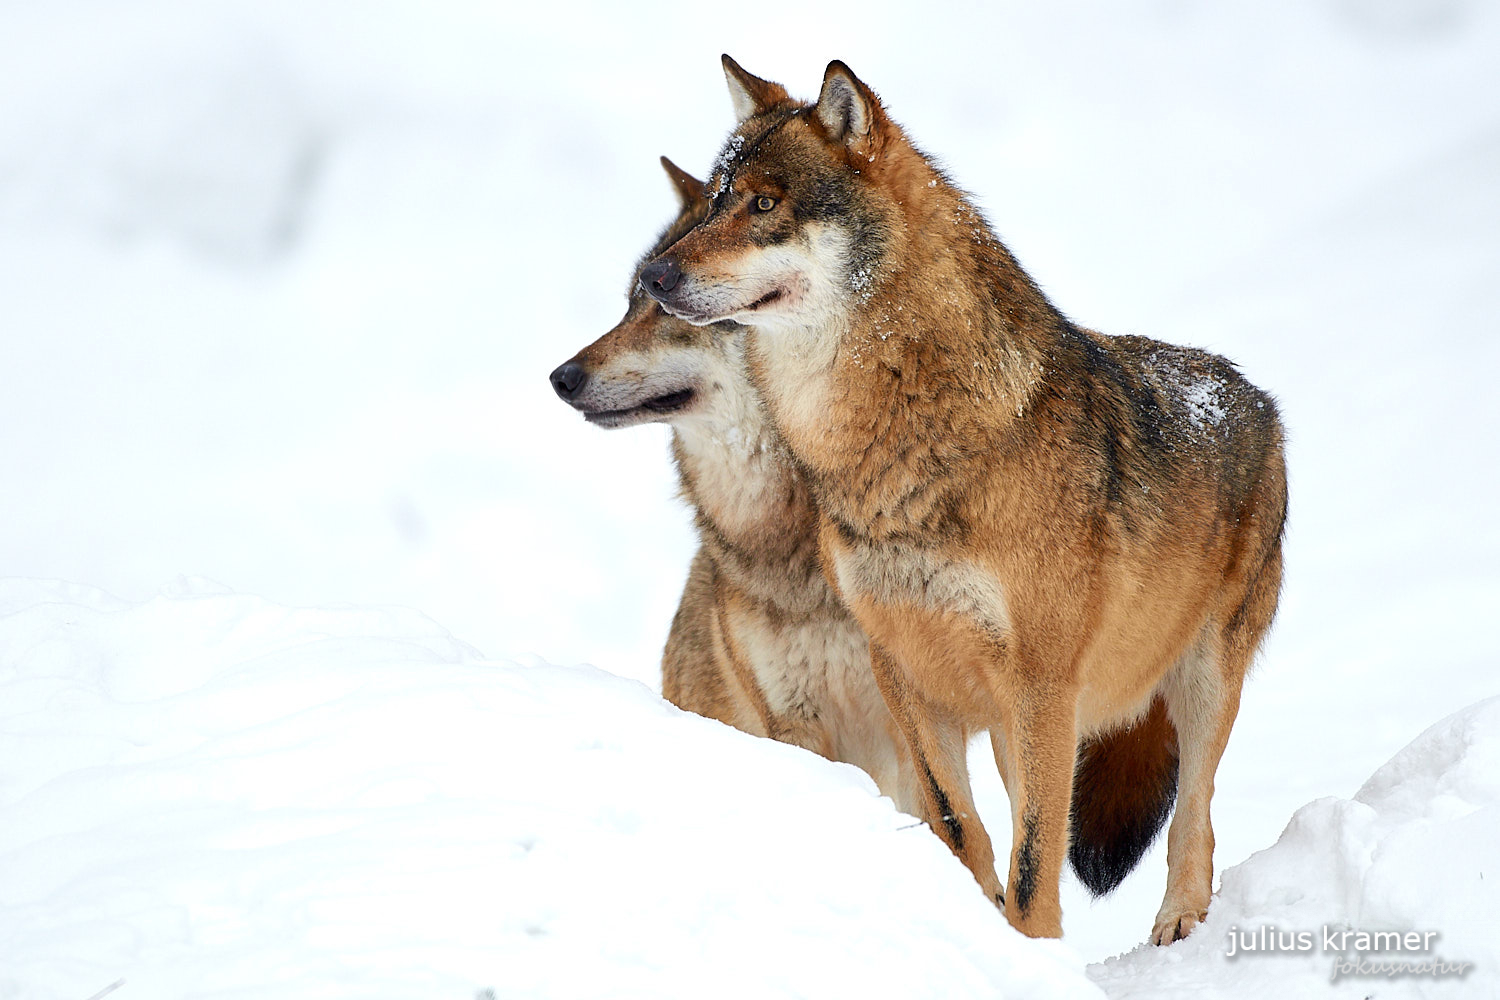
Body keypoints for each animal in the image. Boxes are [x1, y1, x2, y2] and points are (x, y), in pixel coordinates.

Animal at [552, 154, 1182, 905]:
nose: (562, 376)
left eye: (660, 310)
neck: (795, 544)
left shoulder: (915, 724)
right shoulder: (797, 722)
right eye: (629, 304)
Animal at [639, 56, 1284, 947]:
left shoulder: (1042, 685)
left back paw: (1181, 922)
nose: (652, 276)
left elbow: (1035, 856)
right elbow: (961, 829)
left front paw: (1031, 950)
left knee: (1198, 810)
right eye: (711, 201)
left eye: (764, 204)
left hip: (1200, 680)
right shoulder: (906, 674)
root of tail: (1253, 394)